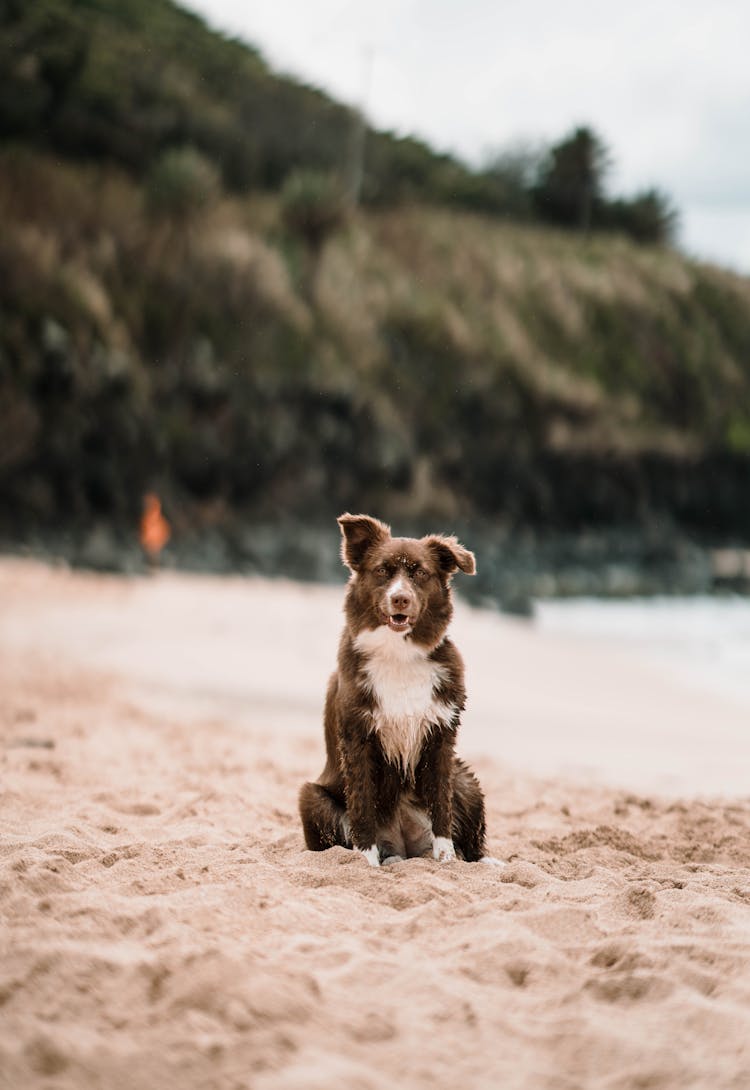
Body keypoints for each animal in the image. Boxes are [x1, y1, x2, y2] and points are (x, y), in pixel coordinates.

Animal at [298, 512, 492, 867]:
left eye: (420, 573)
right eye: (382, 571)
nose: (400, 598)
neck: (399, 653)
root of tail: (404, 847)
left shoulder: (442, 736)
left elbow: (441, 804)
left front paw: (446, 859)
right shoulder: (357, 737)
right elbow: (362, 806)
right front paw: (366, 862)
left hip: (466, 781)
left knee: (472, 844)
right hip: (311, 797)